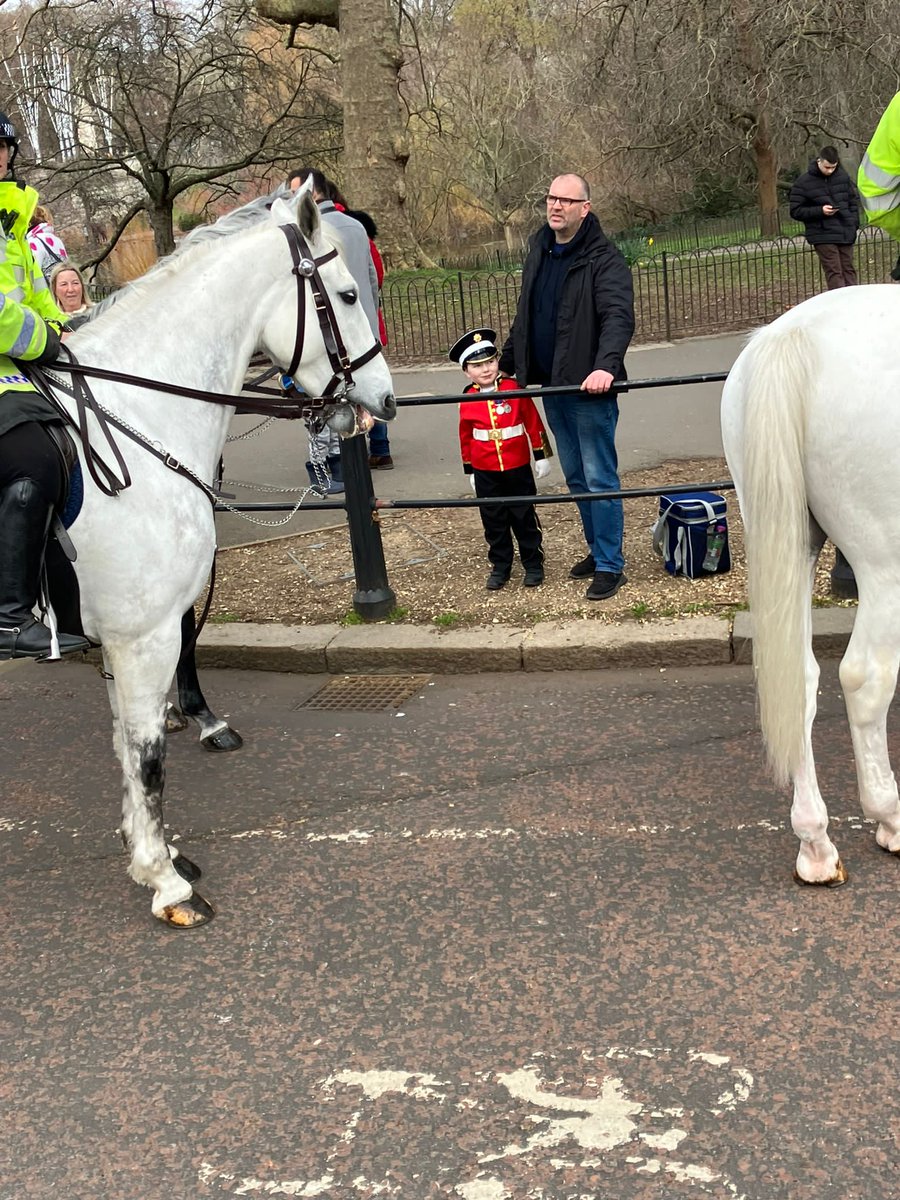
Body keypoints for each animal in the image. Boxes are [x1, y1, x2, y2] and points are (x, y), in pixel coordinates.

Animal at [44, 182, 393, 921]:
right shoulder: (143, 635)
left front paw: (154, 851)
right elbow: (146, 754)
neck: (137, 417)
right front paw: (163, 879)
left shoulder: (122, 636)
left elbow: (126, 748)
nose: (385, 398)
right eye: (348, 293)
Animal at [724, 280, 900, 883]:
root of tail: (794, 335)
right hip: (886, 561)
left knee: (799, 679)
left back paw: (815, 843)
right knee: (866, 678)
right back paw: (889, 815)